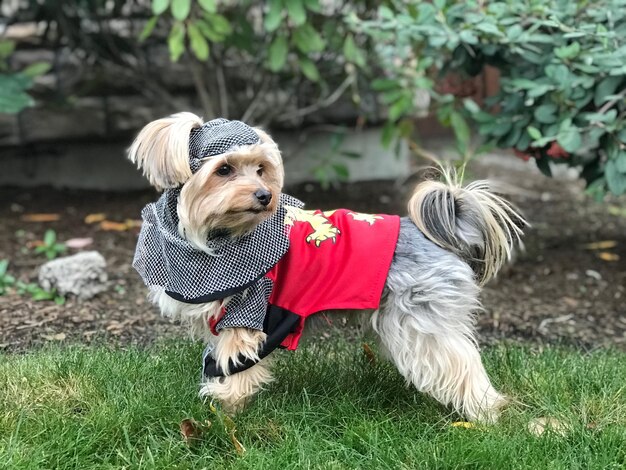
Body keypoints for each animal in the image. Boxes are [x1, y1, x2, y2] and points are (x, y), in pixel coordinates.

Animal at [125, 113, 520, 422]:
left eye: (261, 169)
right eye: (224, 169)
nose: (265, 195)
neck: (214, 236)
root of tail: (432, 236)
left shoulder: (248, 313)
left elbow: (235, 357)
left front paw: (227, 403)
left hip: (420, 322)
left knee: (460, 364)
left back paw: (486, 412)